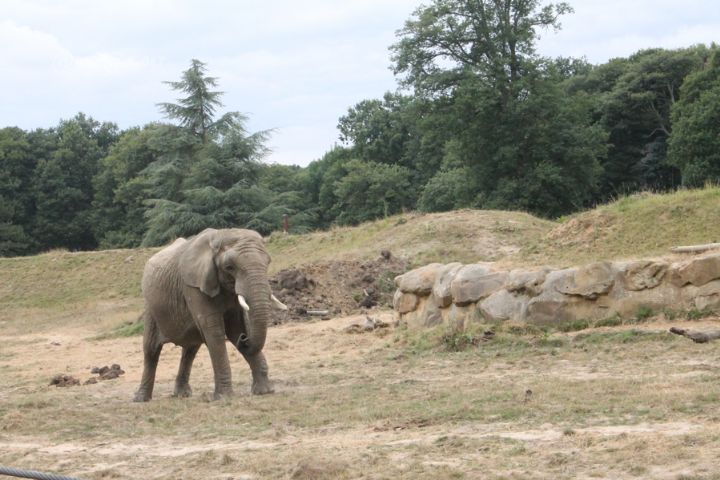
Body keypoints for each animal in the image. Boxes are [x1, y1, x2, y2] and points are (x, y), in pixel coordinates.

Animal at [133, 228, 287, 402]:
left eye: (268, 262)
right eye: (229, 267)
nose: (244, 339)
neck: (220, 236)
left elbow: (235, 327)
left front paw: (264, 391)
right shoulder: (193, 286)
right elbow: (215, 331)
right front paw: (224, 397)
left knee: (190, 349)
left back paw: (182, 395)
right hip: (151, 307)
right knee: (151, 349)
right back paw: (141, 399)